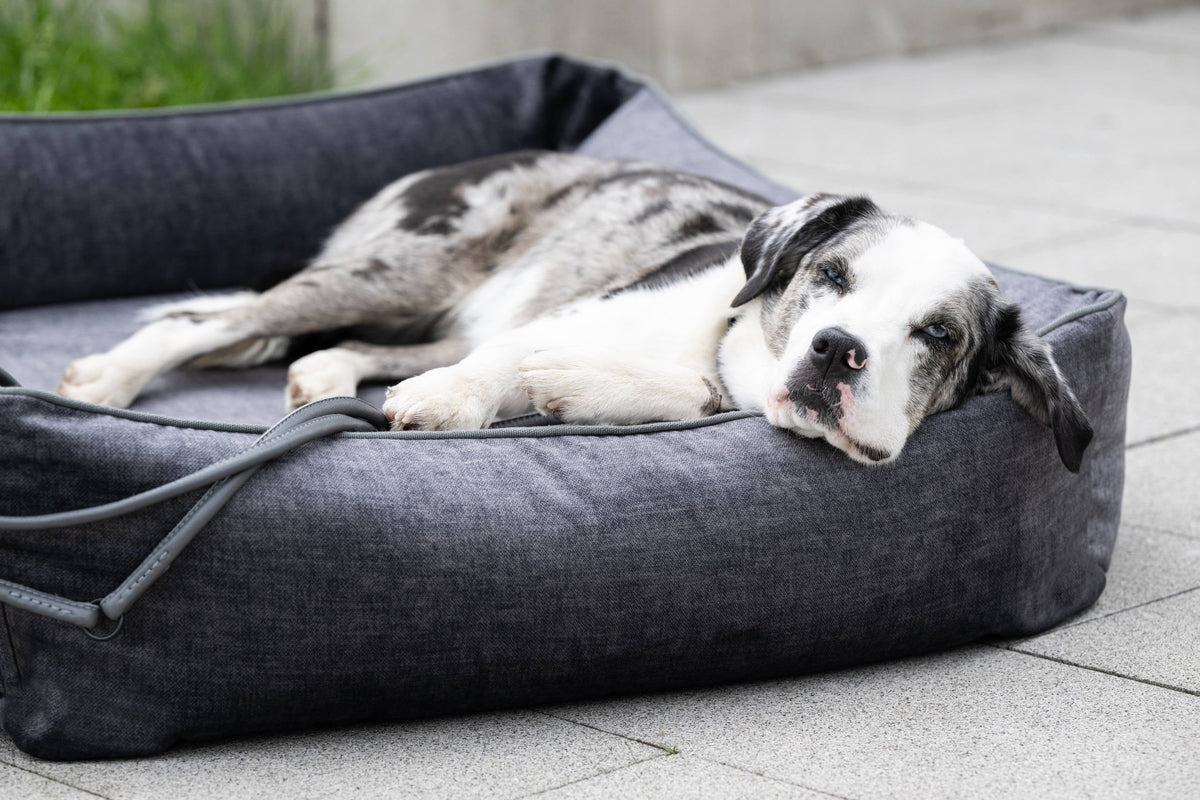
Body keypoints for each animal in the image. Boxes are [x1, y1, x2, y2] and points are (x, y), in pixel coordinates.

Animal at [56, 149, 1094, 470]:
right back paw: (106, 378)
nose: (837, 351)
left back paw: (327, 371)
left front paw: (579, 390)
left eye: (937, 335)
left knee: (371, 346)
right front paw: (456, 405)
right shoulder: (564, 319)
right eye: (832, 276)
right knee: (209, 322)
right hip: (401, 268)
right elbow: (494, 369)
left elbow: (671, 392)